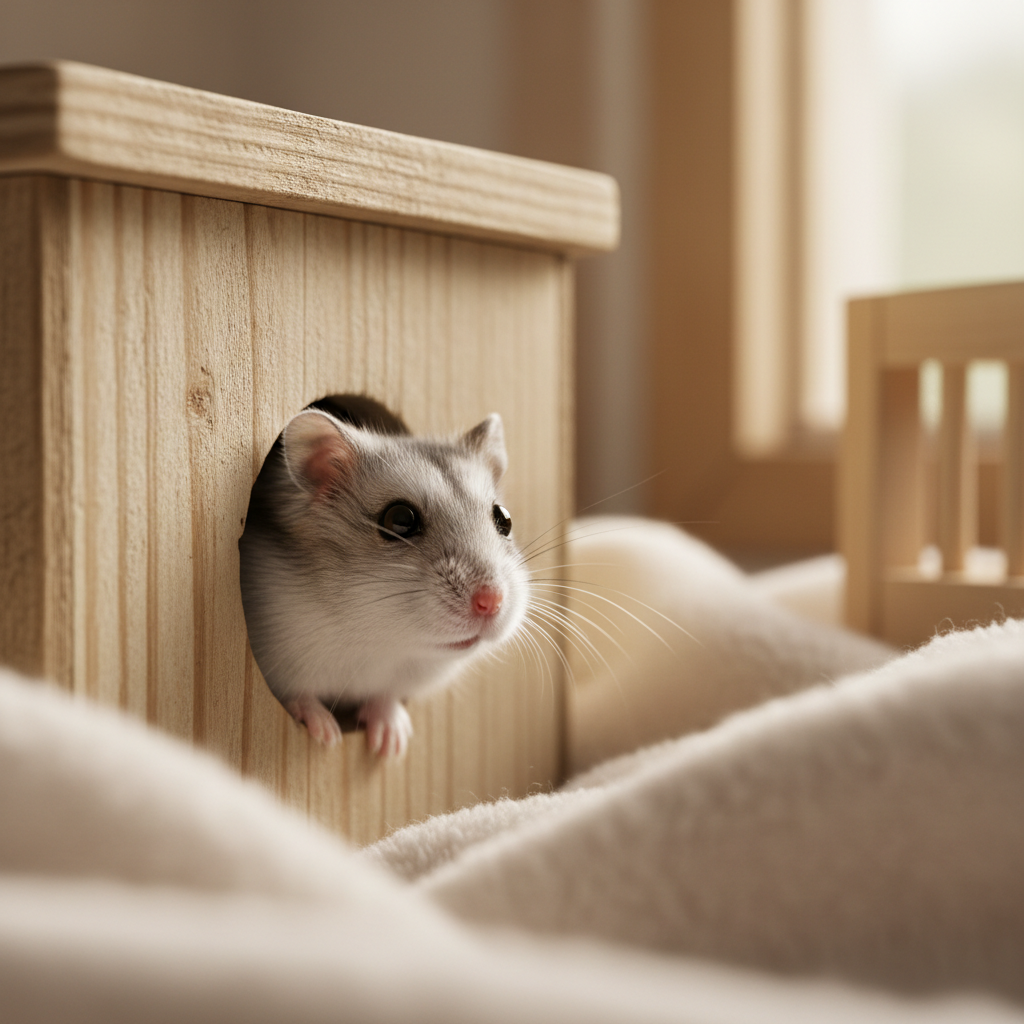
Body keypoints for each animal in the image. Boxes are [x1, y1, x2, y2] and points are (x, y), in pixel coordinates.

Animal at [239, 401, 528, 758]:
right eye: (399, 520)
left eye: (504, 519)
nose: (492, 601)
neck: (380, 643)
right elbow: (297, 695)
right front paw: (327, 735)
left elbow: (384, 697)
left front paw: (391, 743)